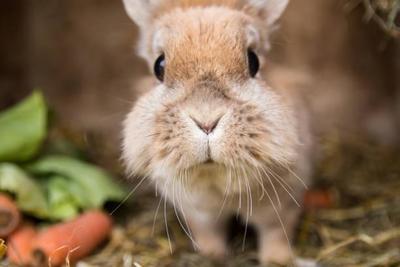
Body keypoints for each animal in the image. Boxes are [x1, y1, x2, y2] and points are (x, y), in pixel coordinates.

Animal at [120, 0, 314, 264]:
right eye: (159, 66)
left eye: (253, 61)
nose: (206, 121)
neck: (216, 179)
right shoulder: (197, 213)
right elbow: (208, 234)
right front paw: (212, 255)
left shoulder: (283, 204)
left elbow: (276, 233)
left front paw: (277, 260)